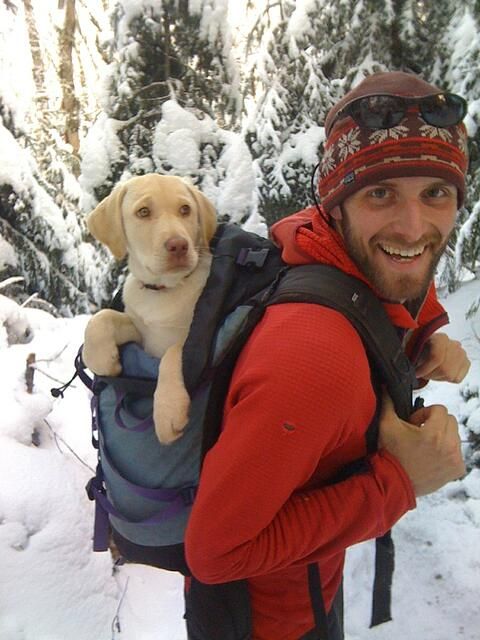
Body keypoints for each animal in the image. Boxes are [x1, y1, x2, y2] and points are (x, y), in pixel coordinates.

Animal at [83, 175, 218, 444]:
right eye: (143, 212)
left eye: (185, 209)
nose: (178, 245)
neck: (163, 289)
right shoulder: (141, 332)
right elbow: (101, 317)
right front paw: (102, 359)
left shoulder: (190, 335)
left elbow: (173, 352)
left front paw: (168, 411)